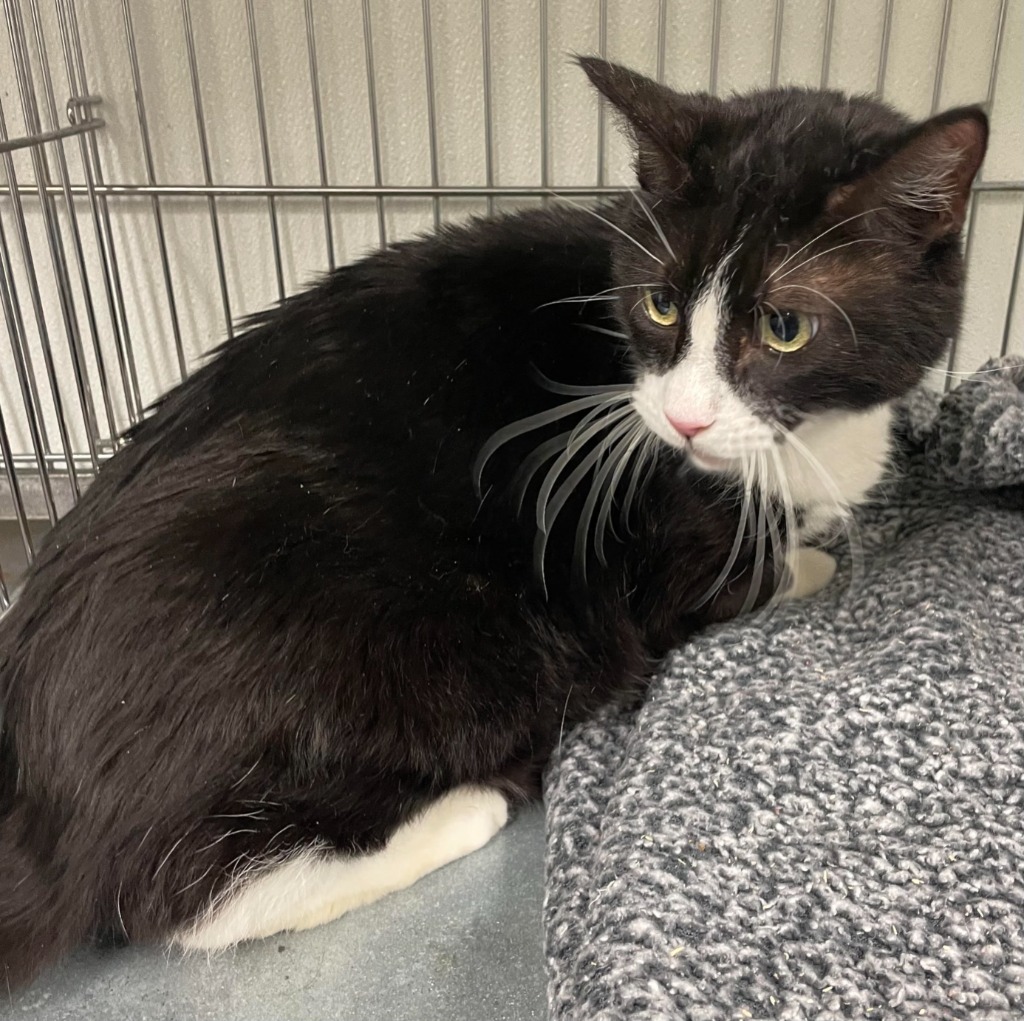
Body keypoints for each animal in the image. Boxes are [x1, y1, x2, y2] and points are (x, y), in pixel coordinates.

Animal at [2, 57, 991, 987]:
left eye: (786, 327)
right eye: (662, 304)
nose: (683, 419)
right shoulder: (666, 543)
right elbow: (758, 573)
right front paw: (812, 556)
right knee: (180, 894)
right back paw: (467, 805)